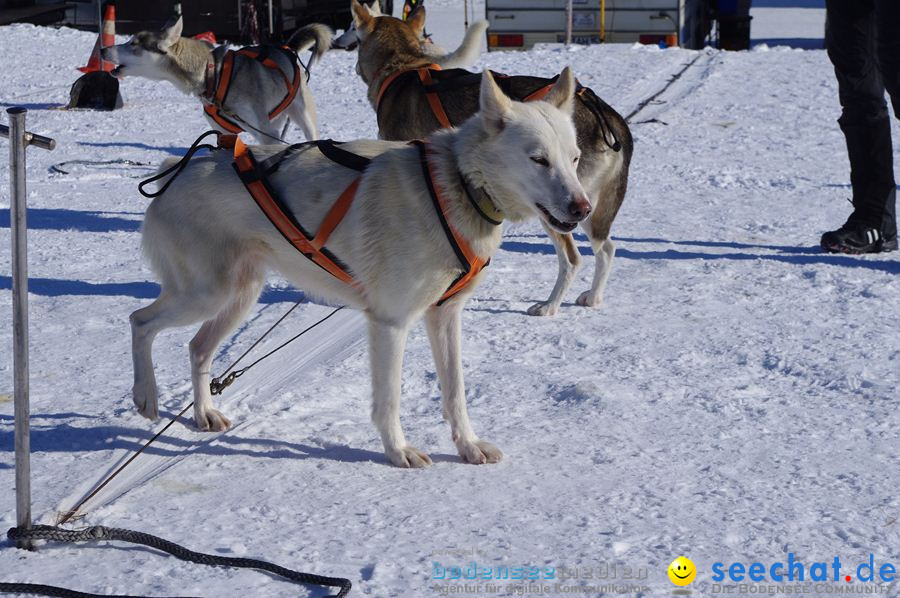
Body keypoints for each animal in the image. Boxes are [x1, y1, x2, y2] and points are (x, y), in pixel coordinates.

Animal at [102, 17, 332, 144]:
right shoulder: (223, 133)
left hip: (303, 118)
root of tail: (285, 47)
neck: (212, 74)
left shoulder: (266, 133)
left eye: (133, 43)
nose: (103, 49)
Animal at [130, 68, 588, 466]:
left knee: (197, 348)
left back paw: (203, 413)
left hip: (238, 296)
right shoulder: (391, 322)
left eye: (574, 158)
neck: (455, 183)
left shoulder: (445, 316)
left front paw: (468, 446)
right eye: (538, 159)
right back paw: (145, 395)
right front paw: (398, 451)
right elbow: (389, 400)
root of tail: (174, 171)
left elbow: (455, 392)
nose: (583, 208)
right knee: (141, 321)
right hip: (205, 294)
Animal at [350, 0, 632, 316]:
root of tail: (604, 113)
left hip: (558, 208)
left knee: (573, 258)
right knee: (606, 248)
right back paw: (594, 297)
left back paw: (549, 305)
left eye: (354, 33)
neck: (403, 66)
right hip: (587, 207)